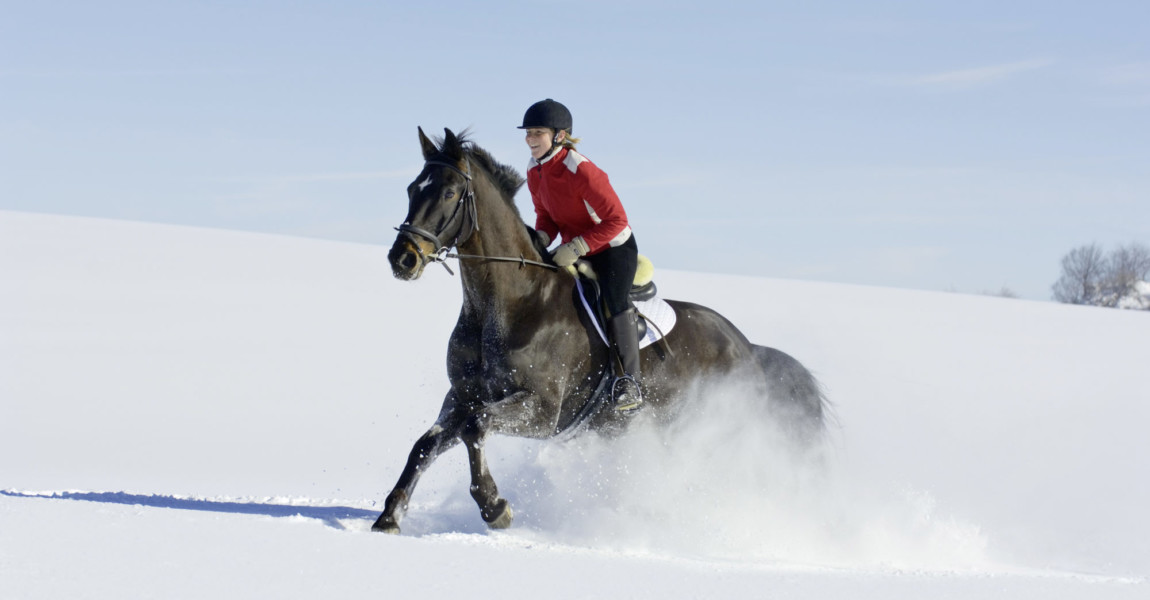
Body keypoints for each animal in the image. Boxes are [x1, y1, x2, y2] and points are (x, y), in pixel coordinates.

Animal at [370, 127, 828, 533]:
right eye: (412, 189)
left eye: (448, 193)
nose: (402, 258)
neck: (509, 305)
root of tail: (748, 347)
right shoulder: (462, 396)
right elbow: (427, 444)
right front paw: (389, 516)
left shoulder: (541, 411)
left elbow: (476, 428)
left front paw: (494, 507)